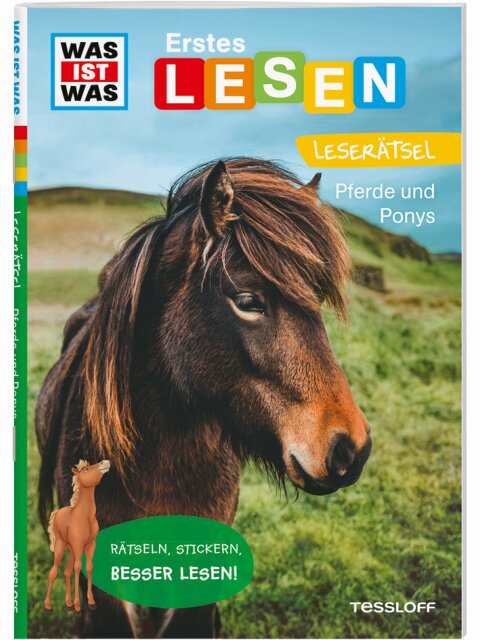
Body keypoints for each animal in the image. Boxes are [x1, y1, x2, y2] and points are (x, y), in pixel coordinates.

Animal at [44, 459, 111, 616]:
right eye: (85, 469)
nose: (104, 462)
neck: (85, 516)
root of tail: (56, 512)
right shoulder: (79, 545)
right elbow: (78, 568)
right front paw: (78, 606)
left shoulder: (91, 545)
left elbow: (89, 567)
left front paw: (91, 603)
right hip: (61, 545)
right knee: (53, 572)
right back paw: (48, 606)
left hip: (71, 549)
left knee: (66, 571)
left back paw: (68, 604)